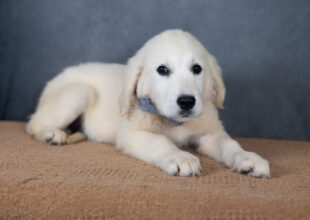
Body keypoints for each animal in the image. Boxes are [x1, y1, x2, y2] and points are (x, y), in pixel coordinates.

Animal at [26, 29, 268, 178]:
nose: (187, 102)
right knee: (32, 123)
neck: (174, 122)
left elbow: (230, 145)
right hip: (79, 92)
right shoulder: (131, 134)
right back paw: (51, 134)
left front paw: (248, 157)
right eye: (162, 69)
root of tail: (60, 75)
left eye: (197, 69)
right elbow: (160, 142)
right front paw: (180, 156)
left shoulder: (209, 134)